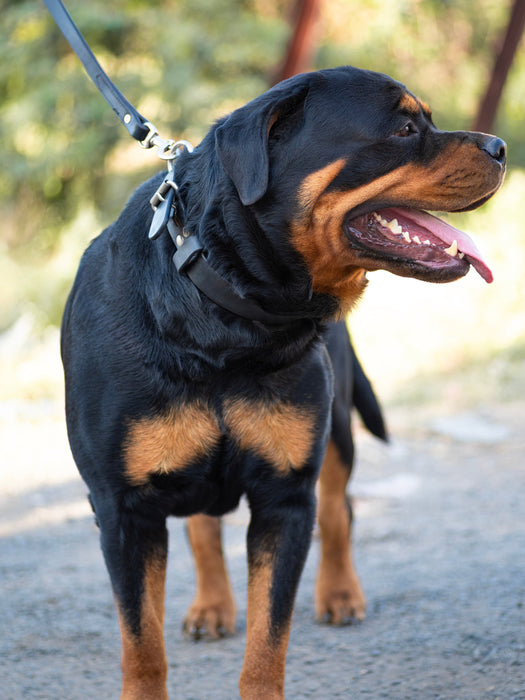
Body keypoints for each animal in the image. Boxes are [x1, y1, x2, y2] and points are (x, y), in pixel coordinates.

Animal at [61, 67, 504, 700]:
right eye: (403, 129)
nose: (501, 146)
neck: (228, 309)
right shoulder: (123, 509)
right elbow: (141, 643)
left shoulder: (286, 496)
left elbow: (269, 641)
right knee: (203, 526)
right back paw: (212, 607)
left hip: (337, 431)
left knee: (340, 509)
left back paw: (340, 594)